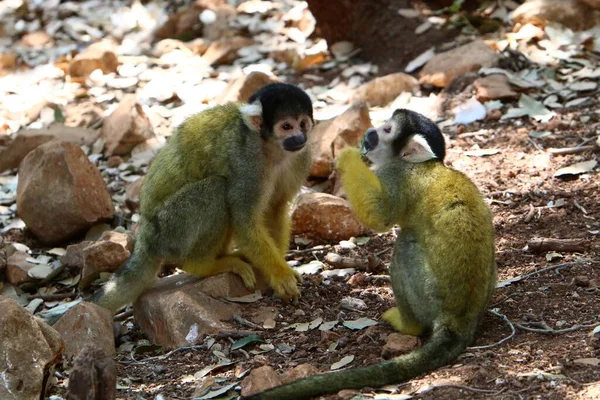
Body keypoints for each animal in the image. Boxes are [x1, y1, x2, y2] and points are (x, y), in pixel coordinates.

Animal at [90, 83, 314, 312]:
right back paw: (204, 265)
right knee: (217, 188)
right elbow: (244, 218)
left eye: (303, 124)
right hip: (169, 230)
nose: (300, 137)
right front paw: (280, 275)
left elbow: (275, 207)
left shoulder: (301, 157)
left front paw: (280, 270)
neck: (271, 148)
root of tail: (145, 238)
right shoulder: (248, 162)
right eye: (286, 126)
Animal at [246, 108, 500, 400]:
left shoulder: (396, 175)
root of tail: (458, 321)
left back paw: (407, 325)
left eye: (387, 130)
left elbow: (380, 216)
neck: (422, 164)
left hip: (429, 297)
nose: (370, 132)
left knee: (405, 246)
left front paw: (348, 156)